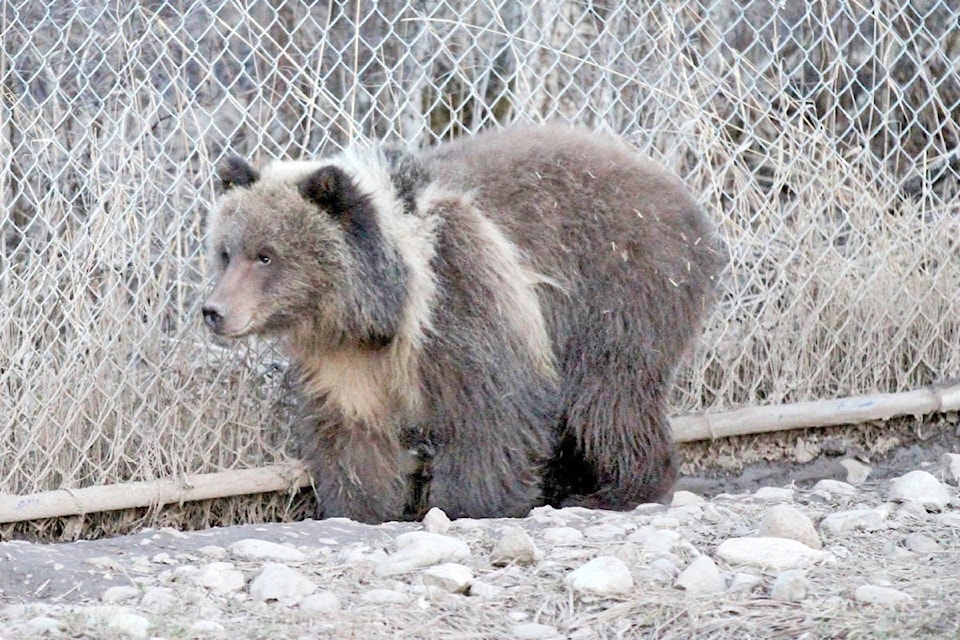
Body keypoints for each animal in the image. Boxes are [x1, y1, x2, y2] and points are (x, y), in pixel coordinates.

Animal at [206, 122, 724, 524]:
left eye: (266, 255)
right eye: (227, 252)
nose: (214, 311)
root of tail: (686, 199)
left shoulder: (464, 290)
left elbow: (490, 405)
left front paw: (472, 502)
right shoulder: (345, 356)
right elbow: (350, 427)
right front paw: (357, 505)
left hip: (621, 287)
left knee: (610, 396)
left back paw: (620, 488)